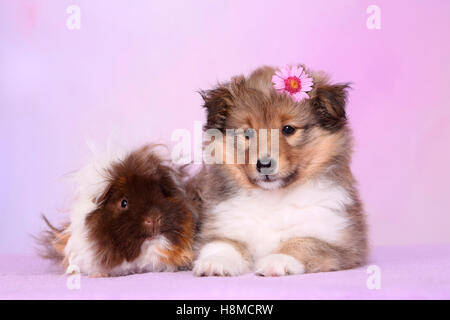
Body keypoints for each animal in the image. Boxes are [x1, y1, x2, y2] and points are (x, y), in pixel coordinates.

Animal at [192, 64, 368, 276]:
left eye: (288, 129)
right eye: (248, 133)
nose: (264, 165)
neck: (273, 198)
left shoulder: (340, 240)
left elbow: (303, 242)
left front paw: (278, 260)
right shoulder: (223, 225)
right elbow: (221, 244)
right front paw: (215, 262)